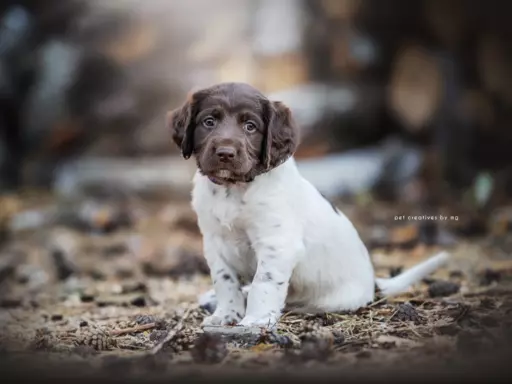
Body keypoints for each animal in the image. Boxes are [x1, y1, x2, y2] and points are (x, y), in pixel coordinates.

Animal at [166, 82, 450, 328]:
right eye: (209, 122)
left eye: (250, 126)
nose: (225, 153)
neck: (233, 190)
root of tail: (372, 283)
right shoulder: (215, 242)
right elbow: (225, 281)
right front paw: (225, 315)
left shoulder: (277, 244)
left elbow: (263, 283)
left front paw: (255, 320)